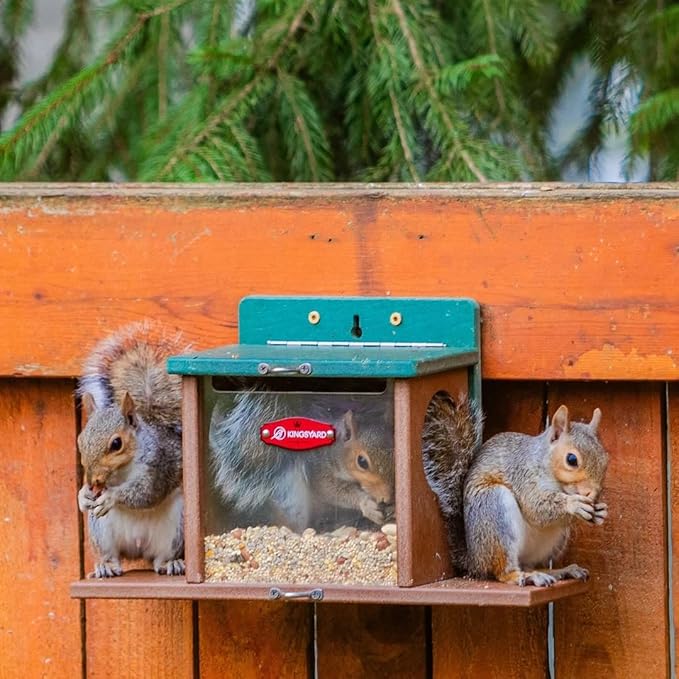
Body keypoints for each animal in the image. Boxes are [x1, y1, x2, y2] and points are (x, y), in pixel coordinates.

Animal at [76, 323, 190, 578]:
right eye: (80, 440)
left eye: (116, 444)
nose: (92, 481)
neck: (121, 472)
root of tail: (138, 547)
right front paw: (83, 496)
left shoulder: (159, 465)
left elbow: (146, 493)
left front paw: (112, 497)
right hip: (101, 531)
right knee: (112, 556)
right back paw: (106, 566)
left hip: (177, 528)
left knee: (162, 557)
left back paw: (171, 564)